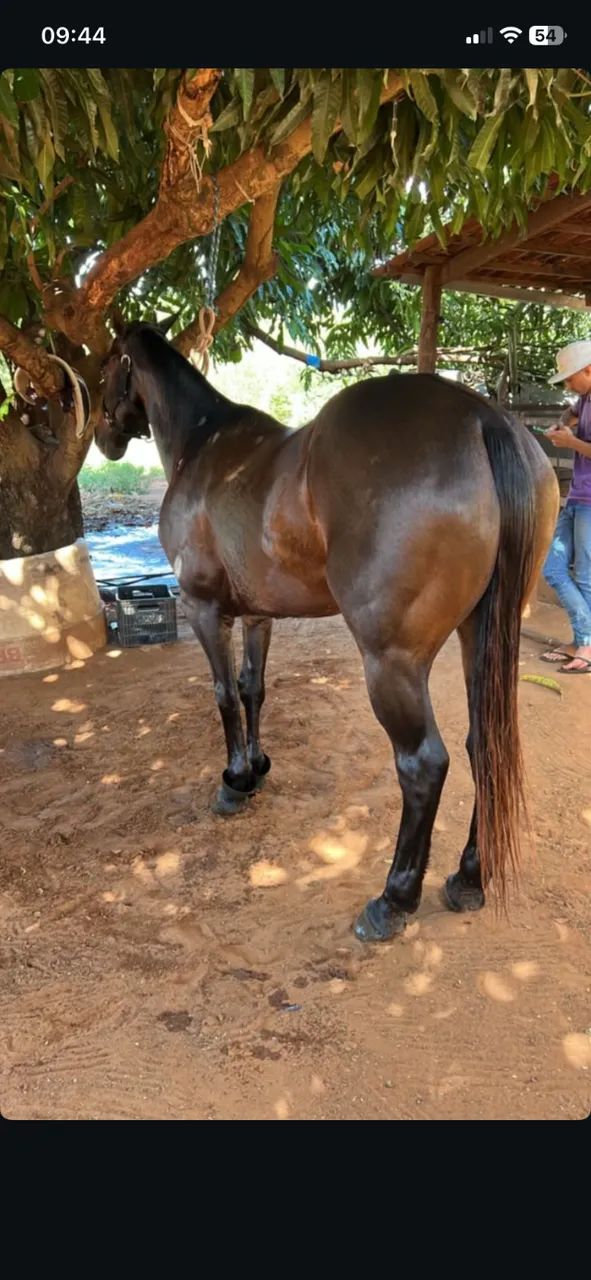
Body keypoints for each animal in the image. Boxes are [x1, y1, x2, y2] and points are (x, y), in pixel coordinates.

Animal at [96, 319, 559, 943]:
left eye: (105, 365)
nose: (104, 436)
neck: (204, 444)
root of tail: (481, 416)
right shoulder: (256, 615)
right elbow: (253, 689)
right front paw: (258, 769)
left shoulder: (203, 610)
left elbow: (223, 696)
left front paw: (234, 782)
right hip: (479, 638)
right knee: (482, 744)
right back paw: (468, 878)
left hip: (391, 661)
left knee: (424, 765)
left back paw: (392, 901)